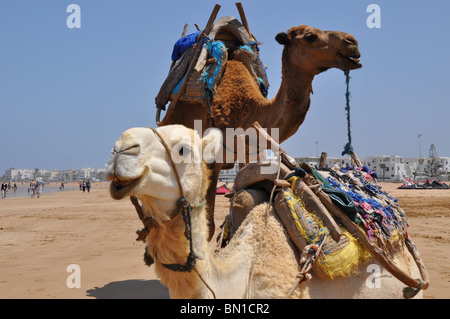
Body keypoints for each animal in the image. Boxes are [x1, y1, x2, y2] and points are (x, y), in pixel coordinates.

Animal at [159, 25, 362, 240]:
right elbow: (209, 226)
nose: (352, 42)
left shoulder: (250, 153)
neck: (247, 109)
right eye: (310, 37)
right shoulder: (212, 159)